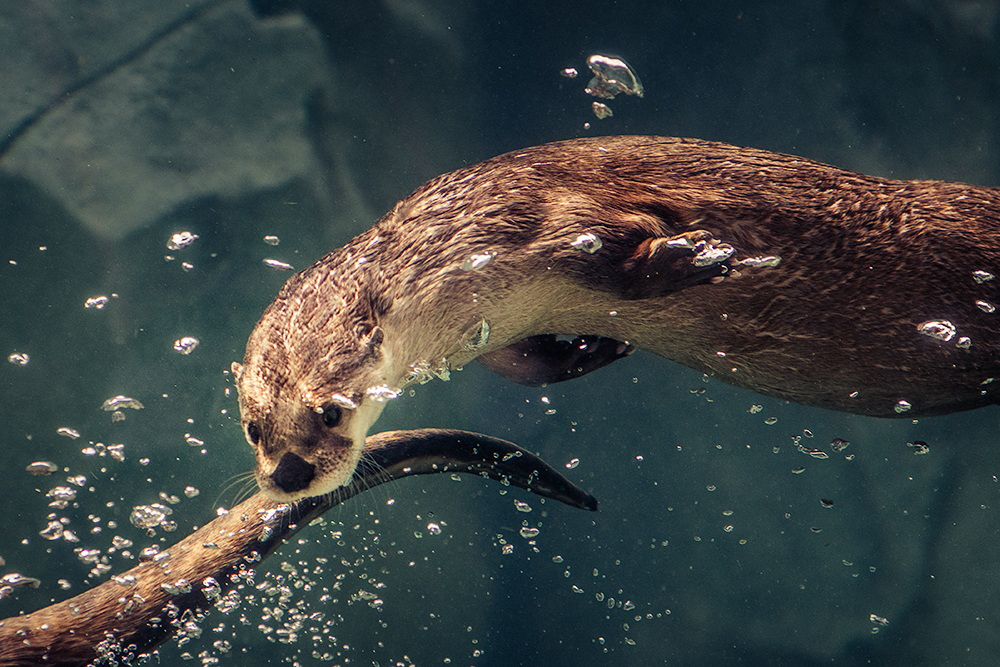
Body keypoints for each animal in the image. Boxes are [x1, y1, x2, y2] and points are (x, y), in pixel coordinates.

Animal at [234, 136, 1000, 500]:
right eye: (253, 427)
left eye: (331, 411)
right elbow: (520, 368)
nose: (289, 474)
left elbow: (618, 240)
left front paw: (697, 255)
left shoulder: (535, 222)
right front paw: (594, 349)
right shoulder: (493, 321)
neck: (445, 255)